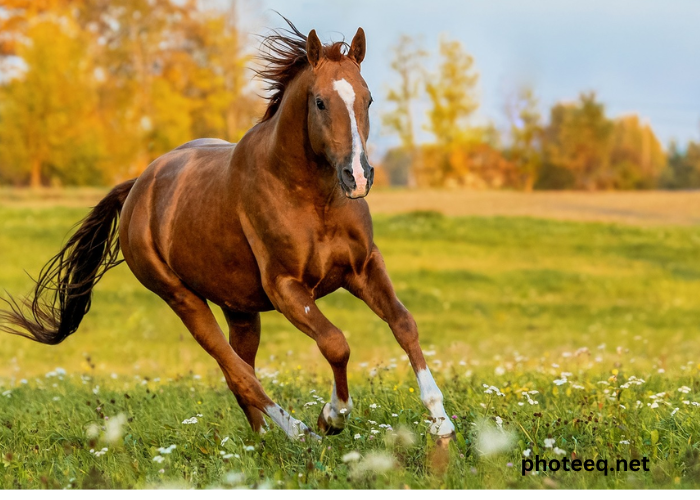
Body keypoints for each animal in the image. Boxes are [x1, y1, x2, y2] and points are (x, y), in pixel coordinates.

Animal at [0, 18, 456, 442]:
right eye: (320, 102)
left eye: (368, 98)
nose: (357, 176)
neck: (313, 198)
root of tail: (137, 188)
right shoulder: (287, 288)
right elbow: (335, 343)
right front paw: (332, 417)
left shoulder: (363, 268)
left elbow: (403, 323)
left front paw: (441, 422)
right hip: (183, 299)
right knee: (237, 372)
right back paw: (299, 433)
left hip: (239, 309)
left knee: (241, 370)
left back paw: (263, 440)